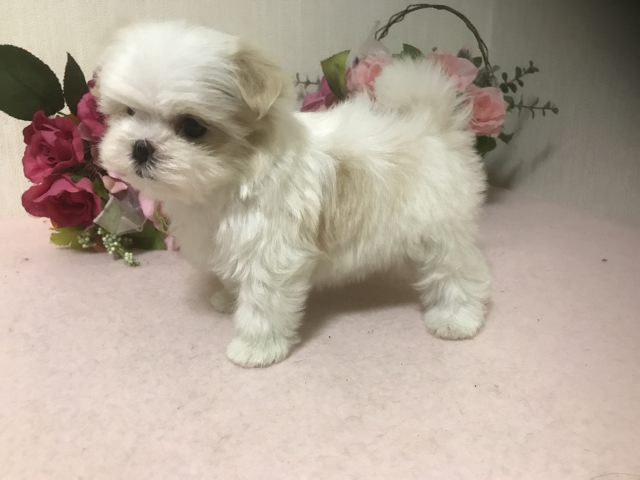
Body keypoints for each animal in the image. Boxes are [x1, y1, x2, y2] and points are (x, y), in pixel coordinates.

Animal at [97, 21, 491, 367]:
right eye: (128, 111)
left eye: (192, 127)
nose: (141, 147)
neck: (231, 176)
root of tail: (434, 126)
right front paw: (229, 298)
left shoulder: (271, 251)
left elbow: (263, 302)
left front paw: (255, 348)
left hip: (442, 230)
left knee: (456, 273)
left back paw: (457, 319)